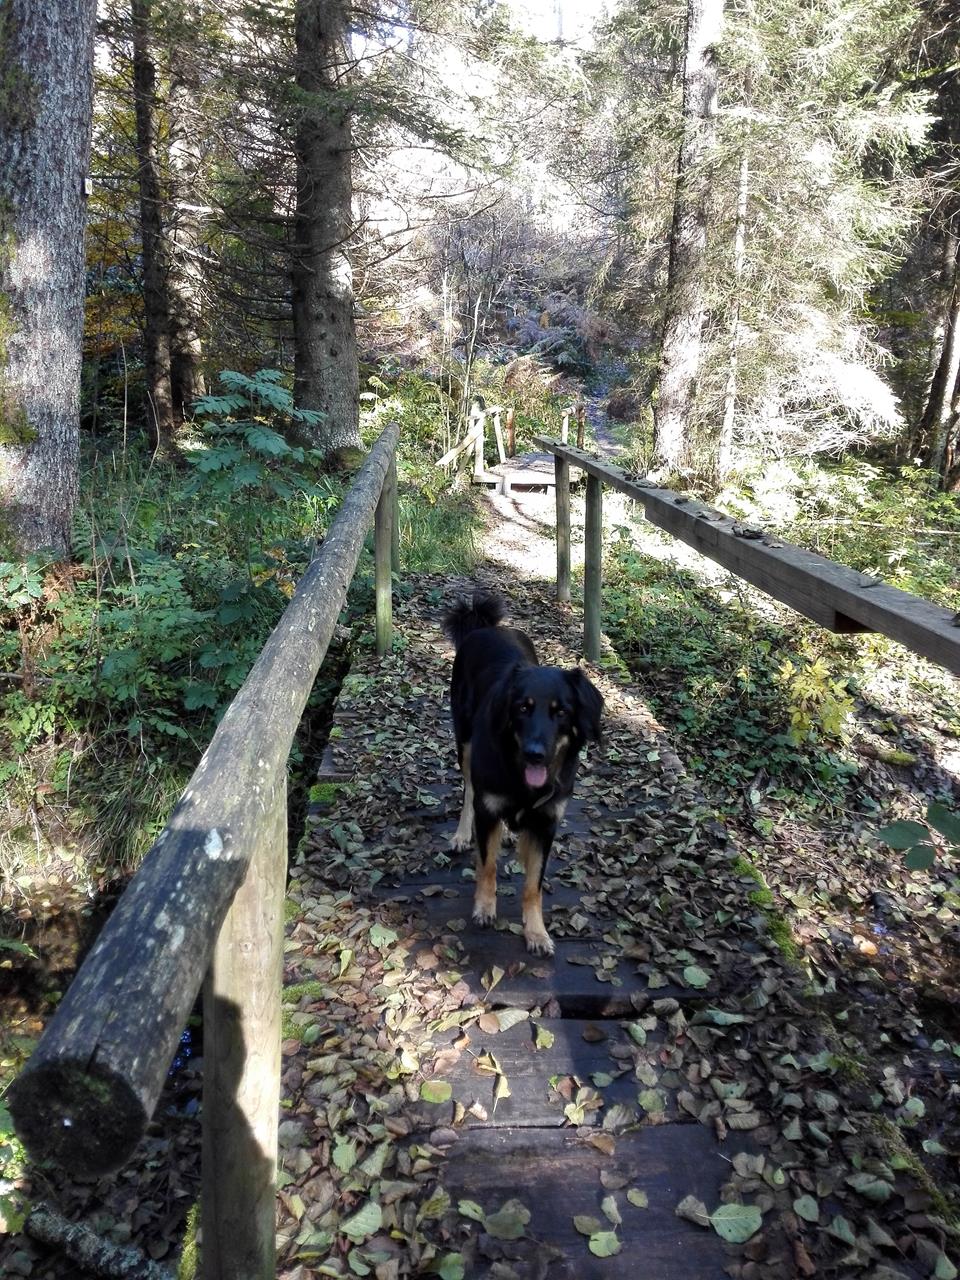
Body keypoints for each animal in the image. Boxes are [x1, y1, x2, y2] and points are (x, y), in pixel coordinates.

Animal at [443, 590, 603, 956]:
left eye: (561, 712)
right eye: (522, 708)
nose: (535, 754)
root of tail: (487, 627)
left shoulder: (546, 823)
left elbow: (534, 885)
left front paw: (536, 932)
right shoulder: (488, 808)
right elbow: (487, 863)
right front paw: (485, 907)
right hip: (465, 742)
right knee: (468, 791)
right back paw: (462, 834)